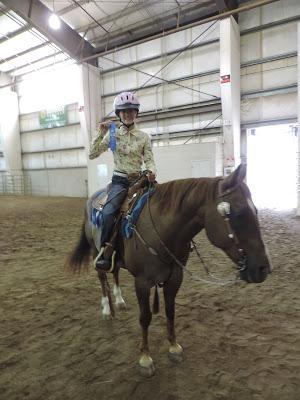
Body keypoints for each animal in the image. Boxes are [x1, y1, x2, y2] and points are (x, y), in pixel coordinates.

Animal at [65, 164, 272, 376]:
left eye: (255, 210)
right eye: (238, 213)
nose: (263, 268)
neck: (162, 230)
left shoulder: (175, 277)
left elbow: (170, 311)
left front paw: (174, 347)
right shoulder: (142, 283)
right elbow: (145, 317)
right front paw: (145, 358)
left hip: (115, 257)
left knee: (114, 272)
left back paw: (120, 301)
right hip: (96, 251)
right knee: (101, 276)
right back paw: (107, 309)